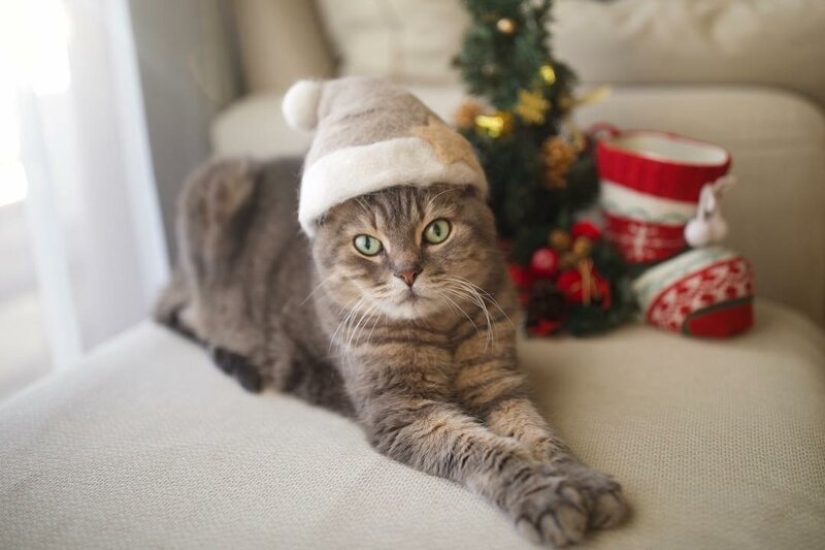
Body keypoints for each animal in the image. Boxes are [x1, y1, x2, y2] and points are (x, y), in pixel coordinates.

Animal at [158, 77, 628, 548]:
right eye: (367, 244)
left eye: (437, 231)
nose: (407, 273)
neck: (441, 331)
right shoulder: (405, 411)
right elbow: (489, 451)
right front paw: (545, 496)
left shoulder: (498, 382)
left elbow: (539, 435)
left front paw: (584, 482)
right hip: (215, 193)